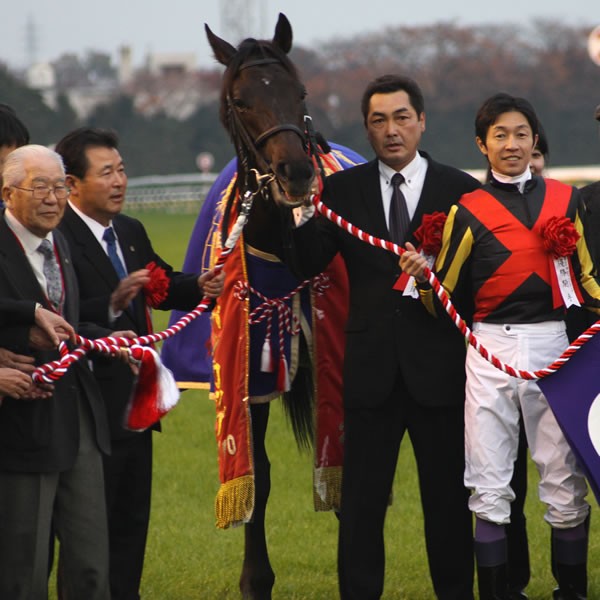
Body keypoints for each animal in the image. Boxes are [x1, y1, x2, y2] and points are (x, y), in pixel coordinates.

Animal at [162, 14, 364, 600]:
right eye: (240, 99)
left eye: (299, 91)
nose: (296, 173)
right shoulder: (248, 369)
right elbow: (260, 472)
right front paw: (256, 578)